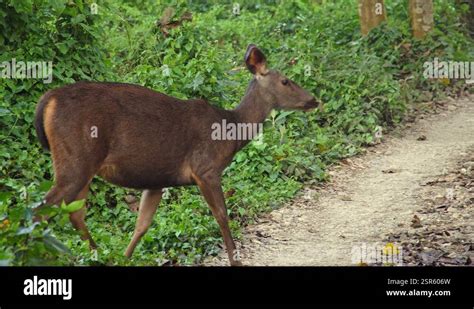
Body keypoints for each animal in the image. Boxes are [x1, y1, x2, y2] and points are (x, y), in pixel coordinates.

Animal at [35, 44, 320, 264]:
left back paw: (95, 255)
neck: (230, 132)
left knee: (74, 214)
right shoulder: (205, 168)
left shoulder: (156, 180)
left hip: (81, 166)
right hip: (76, 160)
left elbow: (142, 224)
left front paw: (124, 258)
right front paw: (236, 260)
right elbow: (222, 216)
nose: (314, 100)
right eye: (286, 81)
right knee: (41, 211)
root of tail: (48, 100)